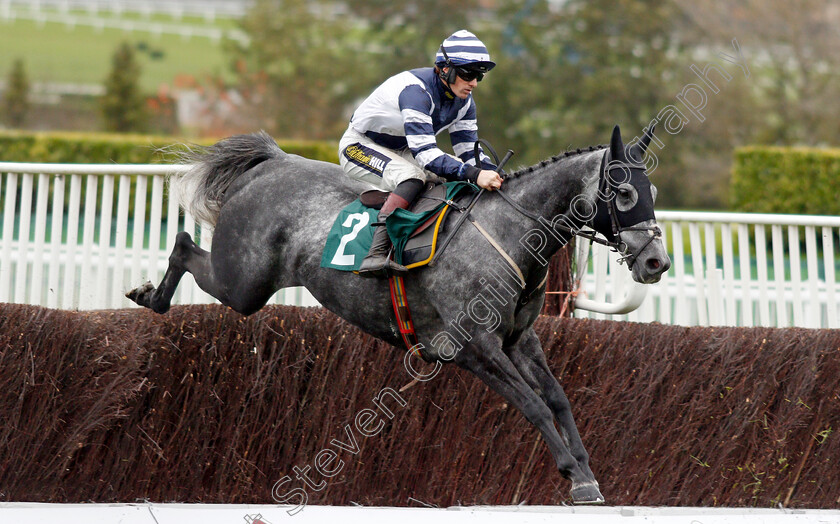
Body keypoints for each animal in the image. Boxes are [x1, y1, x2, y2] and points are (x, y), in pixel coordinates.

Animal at [128, 124, 668, 504]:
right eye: (624, 193)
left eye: (655, 193)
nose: (656, 262)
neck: (509, 233)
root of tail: (272, 163)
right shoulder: (472, 346)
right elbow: (533, 405)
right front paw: (574, 477)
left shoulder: (520, 338)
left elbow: (558, 398)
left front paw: (588, 474)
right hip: (244, 284)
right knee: (183, 244)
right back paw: (150, 295)